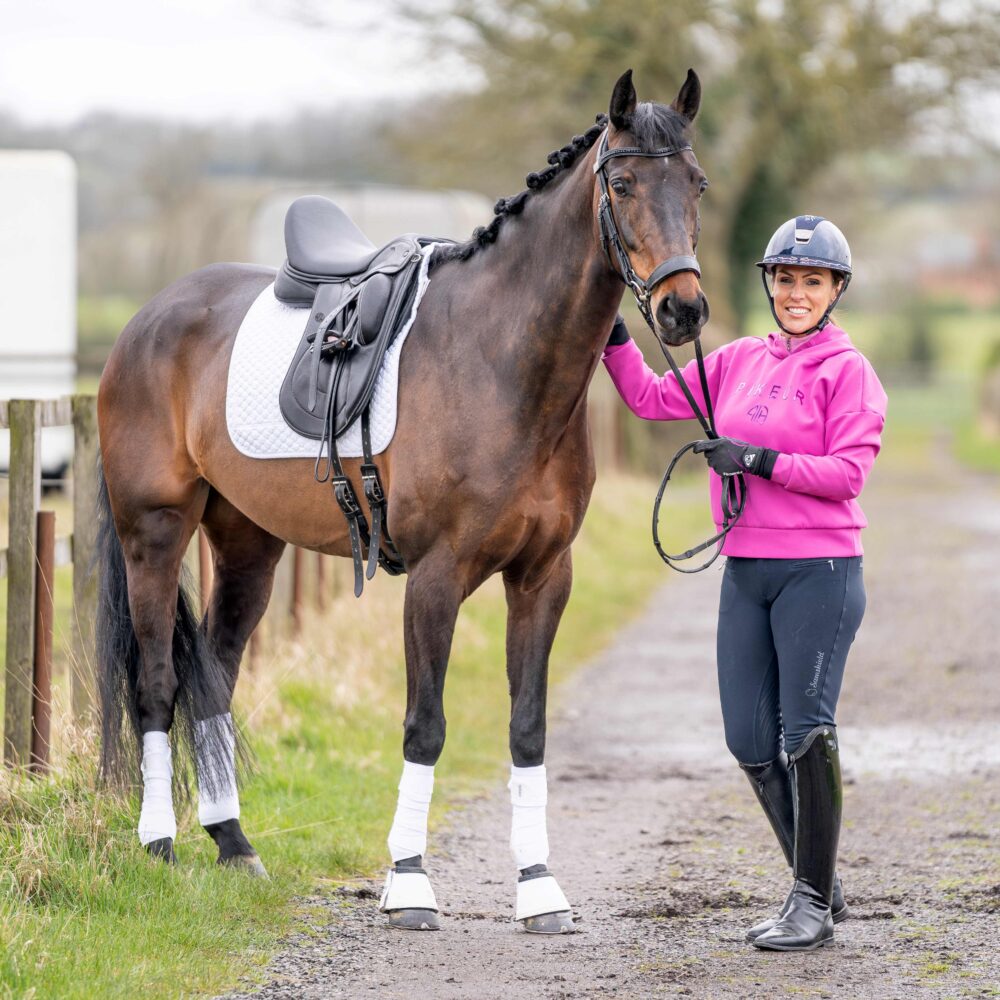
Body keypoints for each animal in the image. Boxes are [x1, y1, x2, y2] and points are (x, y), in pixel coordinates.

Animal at [92, 68, 704, 928]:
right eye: (621, 185)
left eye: (697, 184)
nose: (685, 310)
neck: (499, 359)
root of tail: (148, 318)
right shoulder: (436, 578)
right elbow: (425, 726)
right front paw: (409, 882)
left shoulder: (544, 577)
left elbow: (528, 728)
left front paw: (538, 886)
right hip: (154, 530)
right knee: (156, 683)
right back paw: (159, 847)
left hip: (247, 544)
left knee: (214, 672)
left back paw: (235, 845)